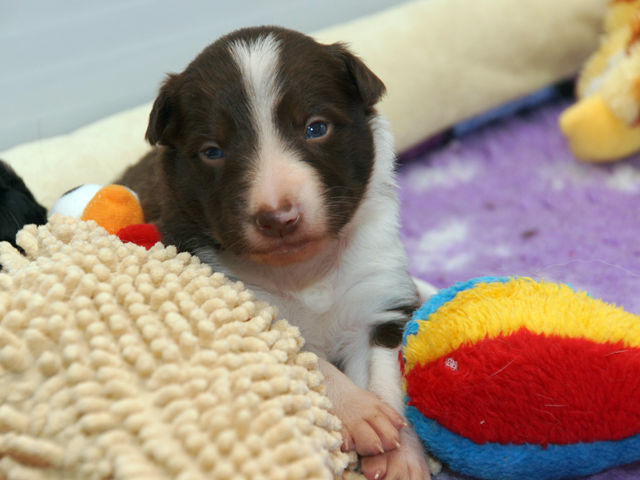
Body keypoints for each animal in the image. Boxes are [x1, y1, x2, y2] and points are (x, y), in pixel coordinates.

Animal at [118, 26, 436, 479]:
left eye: (316, 128)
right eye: (212, 151)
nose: (278, 218)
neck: (304, 271)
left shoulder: (378, 296)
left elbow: (387, 375)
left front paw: (401, 456)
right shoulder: (244, 303)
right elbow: (308, 360)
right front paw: (362, 413)